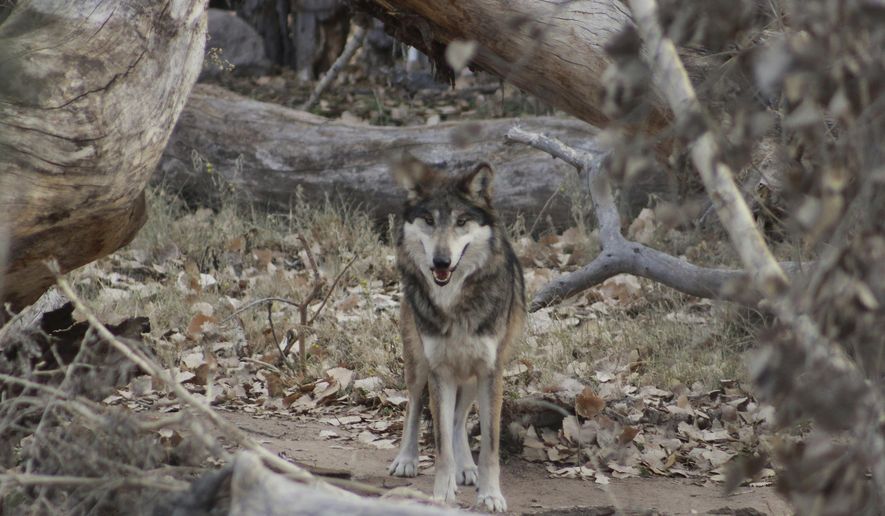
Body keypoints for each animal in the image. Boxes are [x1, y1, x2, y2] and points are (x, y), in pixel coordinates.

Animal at [388, 157, 525, 512]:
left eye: (462, 221)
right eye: (428, 220)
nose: (441, 261)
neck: (455, 302)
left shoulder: (490, 371)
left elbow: (489, 445)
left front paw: (490, 494)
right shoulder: (440, 371)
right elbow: (440, 445)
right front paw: (441, 494)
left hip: (473, 378)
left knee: (458, 419)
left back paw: (467, 468)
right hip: (419, 365)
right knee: (414, 406)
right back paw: (406, 459)